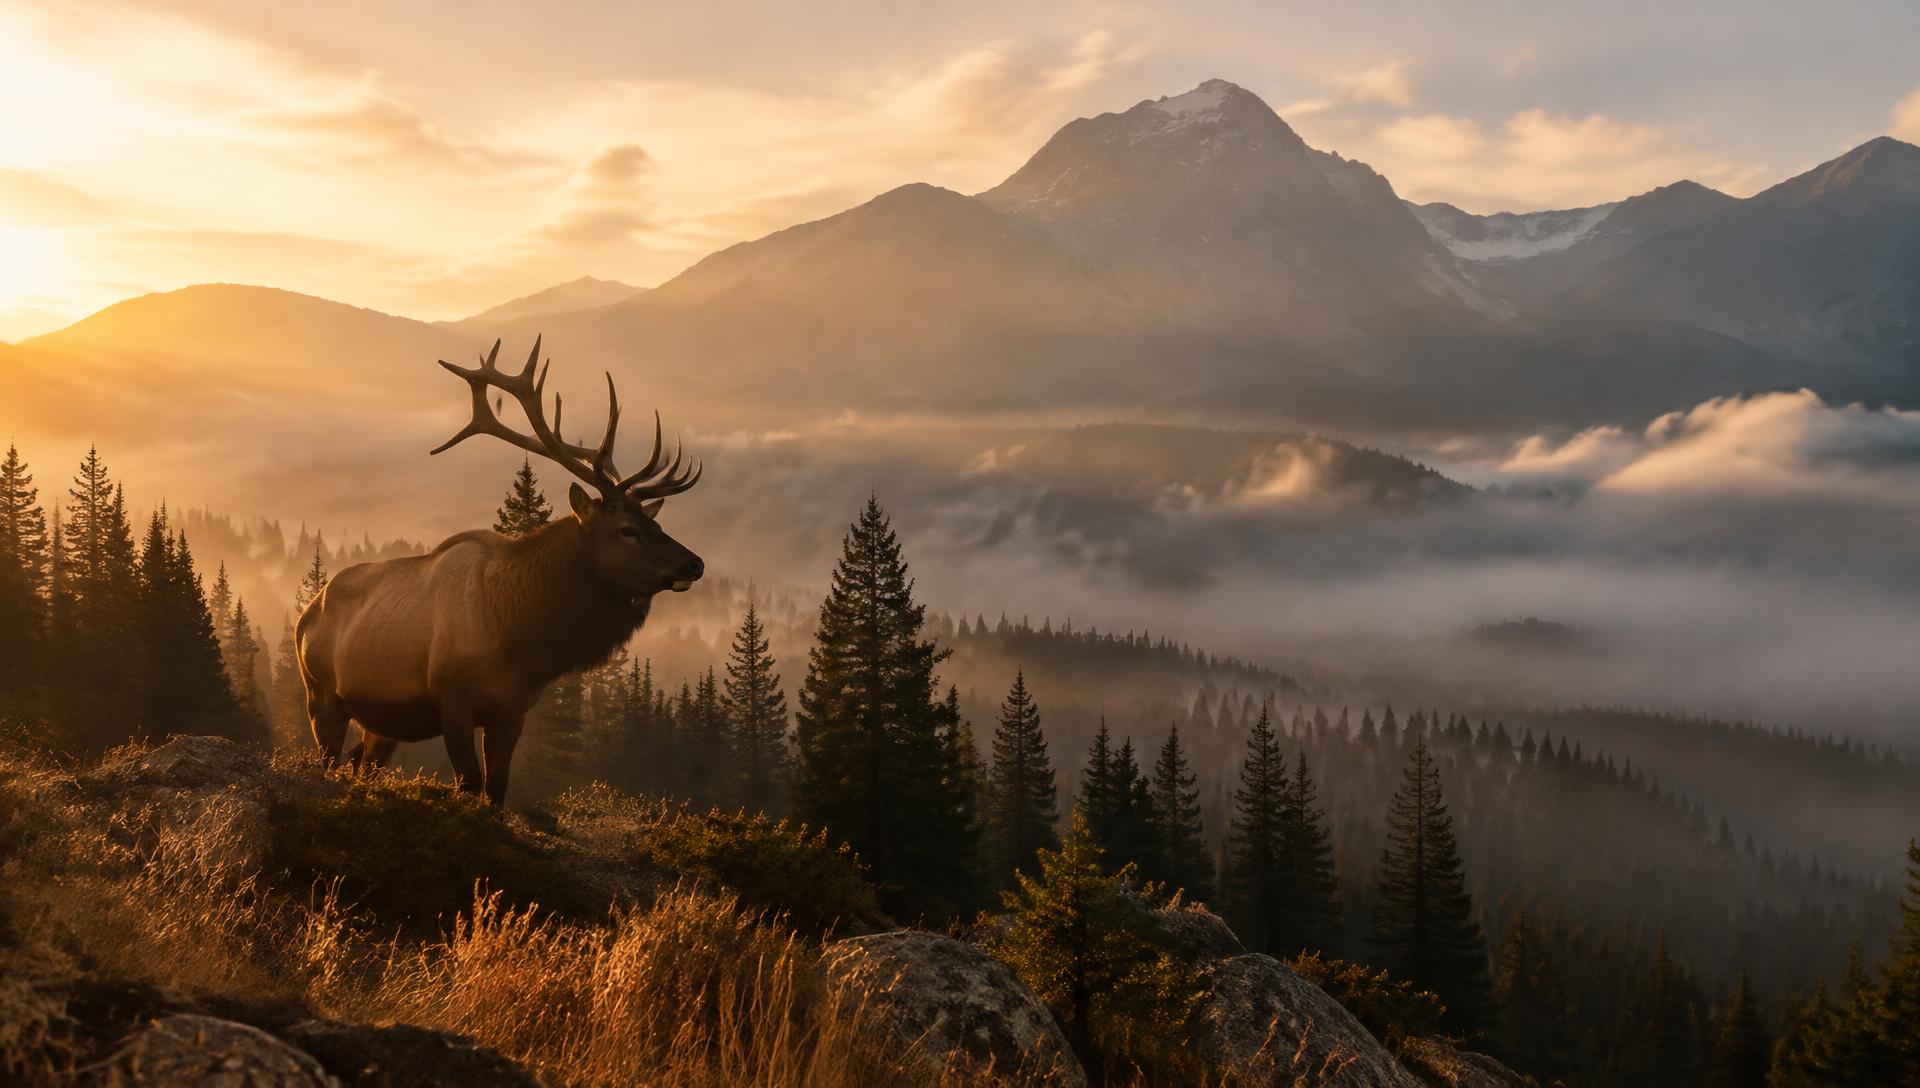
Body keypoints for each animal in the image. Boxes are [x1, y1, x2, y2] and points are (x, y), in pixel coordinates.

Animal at [295, 337, 703, 804]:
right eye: (627, 530)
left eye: (656, 524)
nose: (694, 563)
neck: (517, 637)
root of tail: (306, 612)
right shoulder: (452, 701)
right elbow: (470, 784)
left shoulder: (513, 709)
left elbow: (497, 789)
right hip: (320, 694)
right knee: (328, 759)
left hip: (381, 722)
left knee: (362, 763)